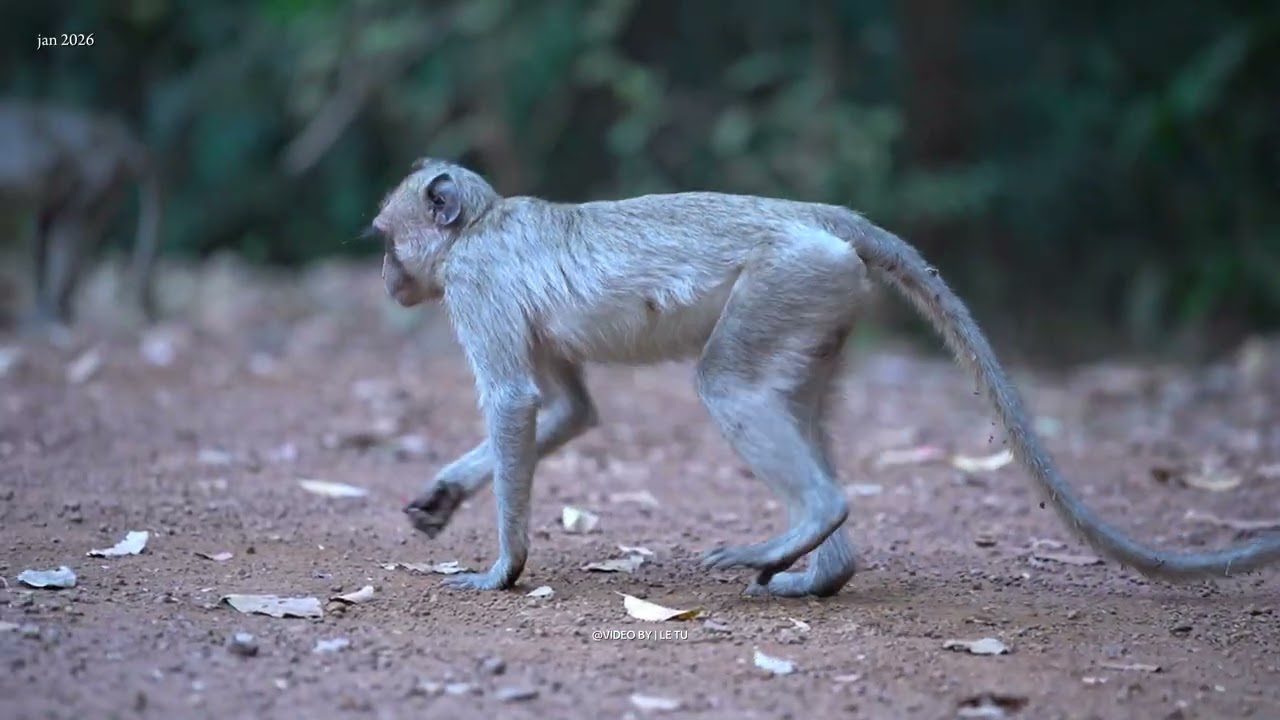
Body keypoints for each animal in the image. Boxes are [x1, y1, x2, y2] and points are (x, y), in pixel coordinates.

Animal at [0, 100, 163, 329]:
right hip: (101, 186)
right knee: (53, 238)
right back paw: (57, 309)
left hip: (96, 182)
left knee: (64, 237)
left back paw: (48, 314)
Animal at [369, 157, 1280, 597]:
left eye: (384, 238)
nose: (386, 279)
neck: (481, 224)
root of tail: (813, 218)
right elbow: (567, 409)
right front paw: (444, 494)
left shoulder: (478, 283)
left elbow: (517, 401)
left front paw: (503, 569)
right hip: (824, 299)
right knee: (787, 401)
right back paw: (826, 571)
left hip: (789, 280)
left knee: (729, 386)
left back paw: (815, 522)